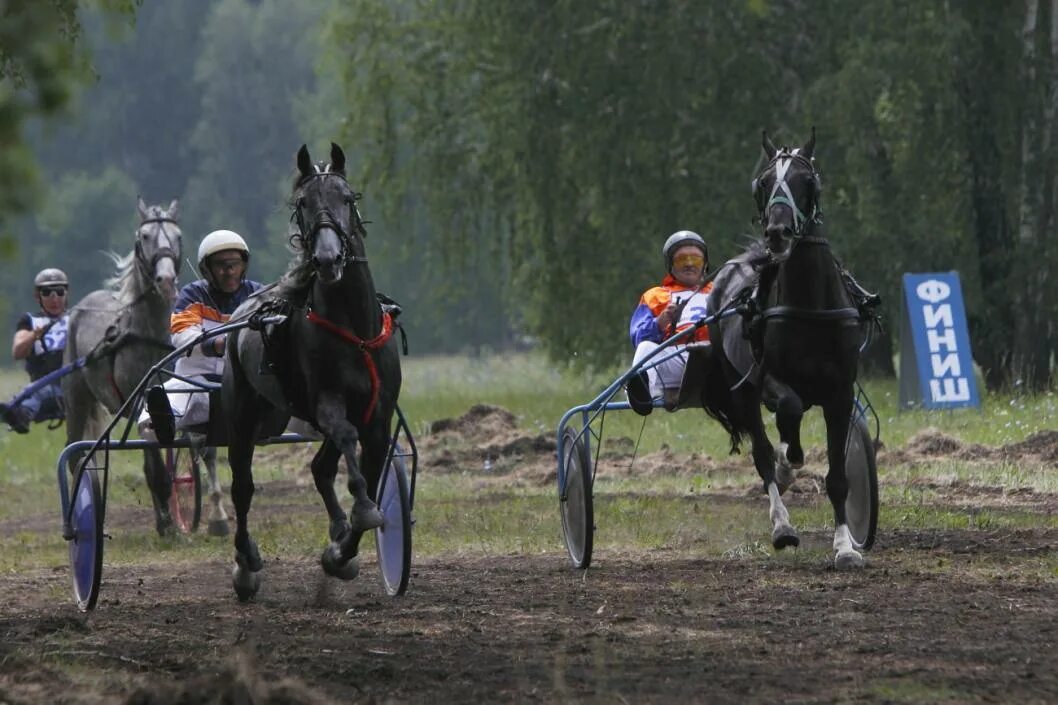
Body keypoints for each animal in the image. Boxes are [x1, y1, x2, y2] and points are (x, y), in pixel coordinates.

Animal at [61, 195, 183, 533]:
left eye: (177, 237)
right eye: (145, 237)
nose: (166, 280)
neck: (148, 336)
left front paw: (167, 522)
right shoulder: (140, 403)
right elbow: (154, 468)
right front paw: (167, 523)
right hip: (75, 399)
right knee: (74, 455)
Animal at [223, 142, 399, 597]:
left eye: (348, 197)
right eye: (303, 203)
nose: (326, 258)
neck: (356, 330)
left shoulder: (378, 417)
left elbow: (369, 482)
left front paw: (340, 553)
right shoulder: (327, 403)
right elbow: (350, 451)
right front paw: (357, 515)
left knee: (321, 467)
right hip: (241, 414)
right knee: (242, 486)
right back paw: (245, 564)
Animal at [702, 129, 867, 567]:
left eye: (805, 180)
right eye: (763, 183)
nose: (778, 232)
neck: (810, 305)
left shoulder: (840, 391)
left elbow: (839, 477)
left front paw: (845, 546)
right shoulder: (766, 379)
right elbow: (788, 411)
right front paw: (788, 460)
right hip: (740, 390)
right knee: (762, 452)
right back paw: (782, 523)